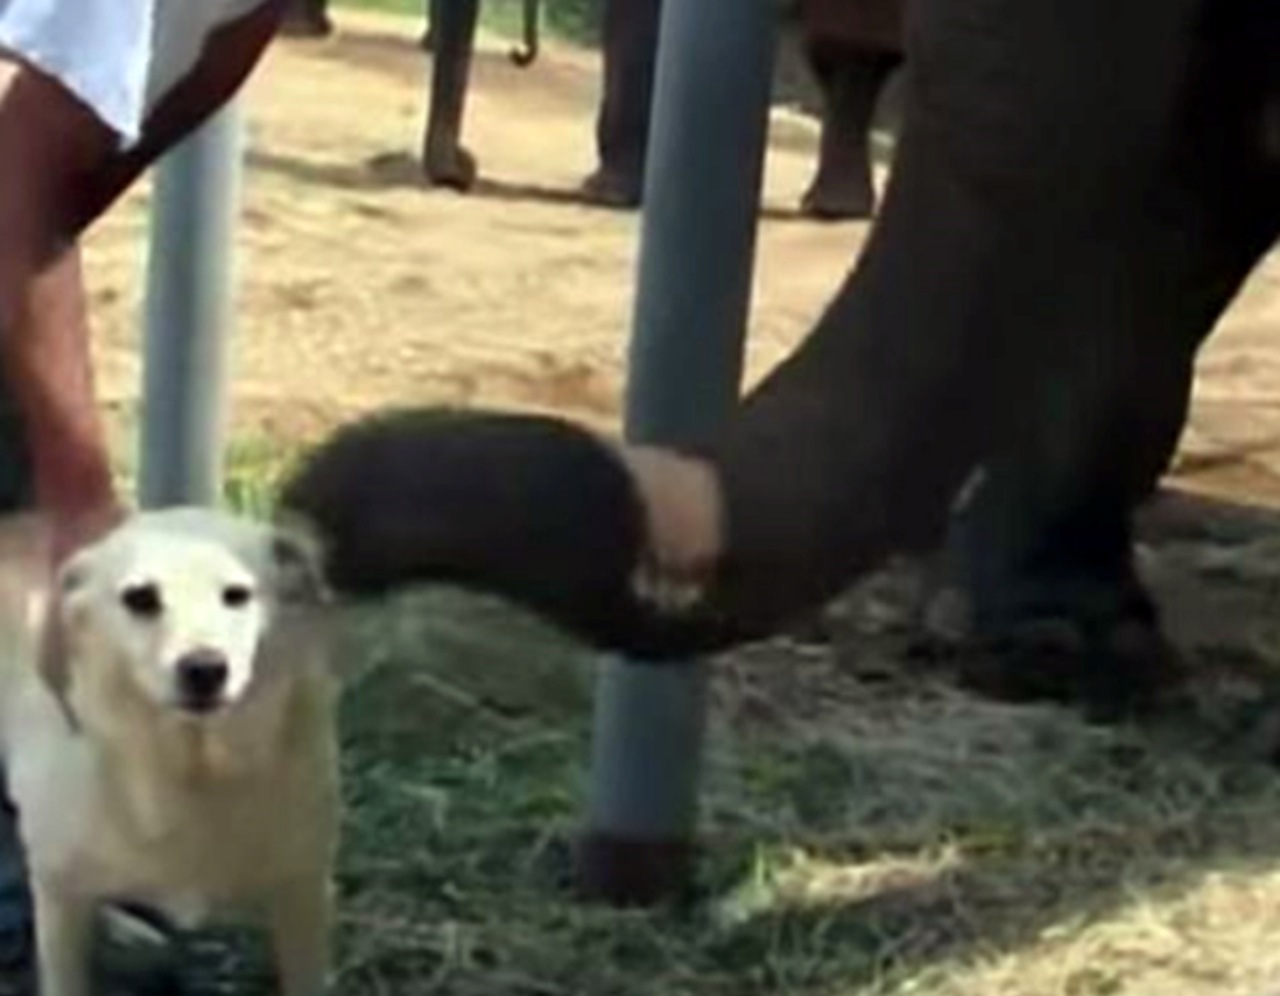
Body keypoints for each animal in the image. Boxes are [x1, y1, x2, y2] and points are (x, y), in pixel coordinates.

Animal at [0, 509, 340, 988]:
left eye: (237, 595)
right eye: (140, 598)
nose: (205, 669)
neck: (189, 771)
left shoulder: (303, 891)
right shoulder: (57, 895)